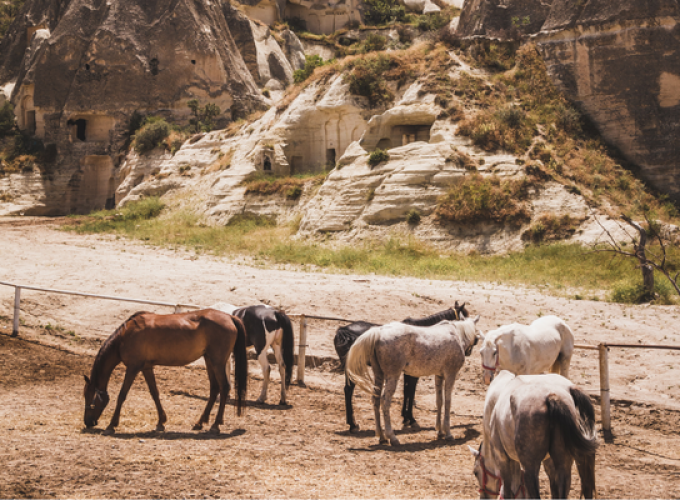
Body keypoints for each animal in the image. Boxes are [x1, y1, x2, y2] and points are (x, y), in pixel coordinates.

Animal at [82, 308, 247, 434]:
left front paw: (111, 425)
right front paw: (161, 422)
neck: (125, 336)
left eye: (90, 399)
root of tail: (229, 317)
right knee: (214, 389)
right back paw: (200, 422)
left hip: (217, 362)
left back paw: (215, 425)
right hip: (209, 360)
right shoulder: (146, 367)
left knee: (224, 388)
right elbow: (154, 393)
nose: (87, 422)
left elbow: (122, 395)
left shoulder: (133, 368)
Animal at [334, 300, 468, 434]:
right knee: (349, 390)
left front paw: (405, 417)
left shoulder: (408, 372)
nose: (468, 349)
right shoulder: (413, 374)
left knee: (347, 389)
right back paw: (353, 424)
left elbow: (406, 390)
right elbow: (410, 391)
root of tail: (343, 331)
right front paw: (410, 419)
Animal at [346, 316, 478, 446]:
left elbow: (439, 401)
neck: (456, 334)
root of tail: (379, 332)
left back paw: (382, 437)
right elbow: (448, 402)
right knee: (385, 401)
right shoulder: (450, 374)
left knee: (376, 400)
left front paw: (440, 432)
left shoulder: (439, 375)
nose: (469, 351)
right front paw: (448, 433)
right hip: (392, 375)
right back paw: (392, 437)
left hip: (379, 374)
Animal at [470, 370, 596, 498]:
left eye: (475, 472)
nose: (484, 497)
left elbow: (507, 491)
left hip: (530, 468)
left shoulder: (502, 459)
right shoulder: (548, 462)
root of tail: (553, 396)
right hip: (564, 463)